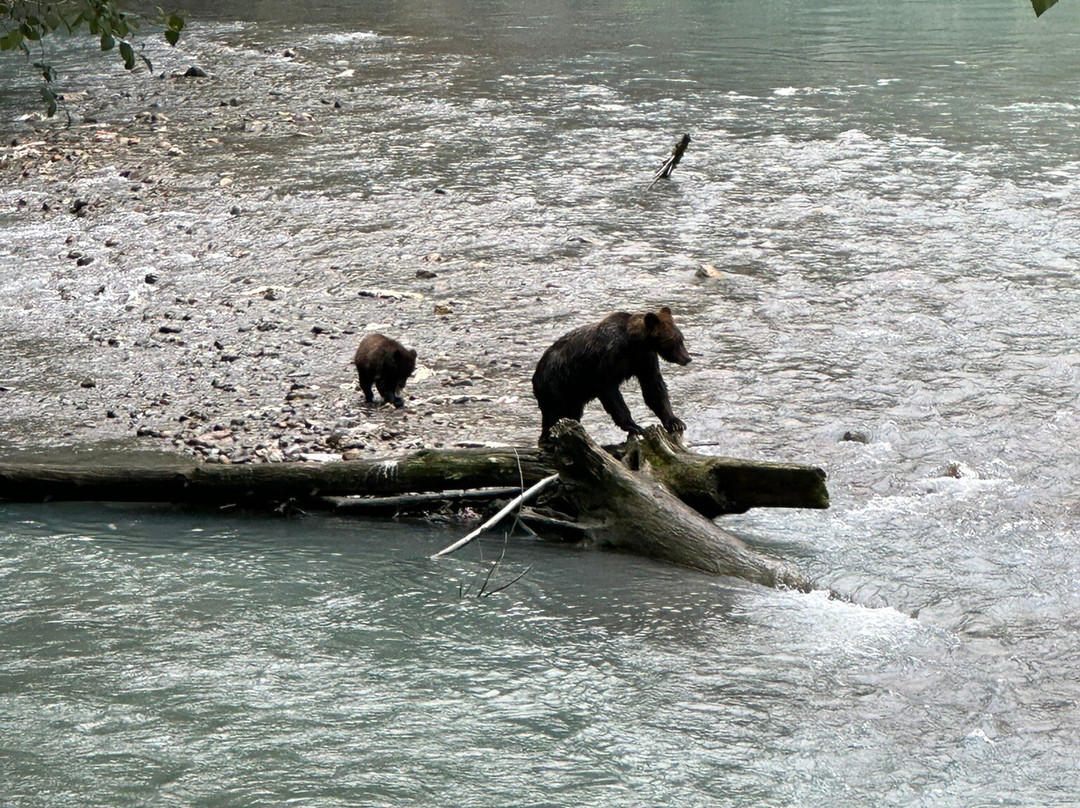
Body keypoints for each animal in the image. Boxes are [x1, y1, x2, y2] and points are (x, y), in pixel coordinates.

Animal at [531, 306, 691, 446]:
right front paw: (634, 426)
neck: (634, 343)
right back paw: (547, 439)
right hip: (557, 384)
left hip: (573, 394)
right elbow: (611, 393)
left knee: (571, 414)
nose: (687, 358)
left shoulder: (644, 359)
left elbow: (654, 387)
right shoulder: (608, 359)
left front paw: (675, 422)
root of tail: (537, 370)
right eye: (675, 340)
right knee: (554, 414)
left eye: (681, 338)